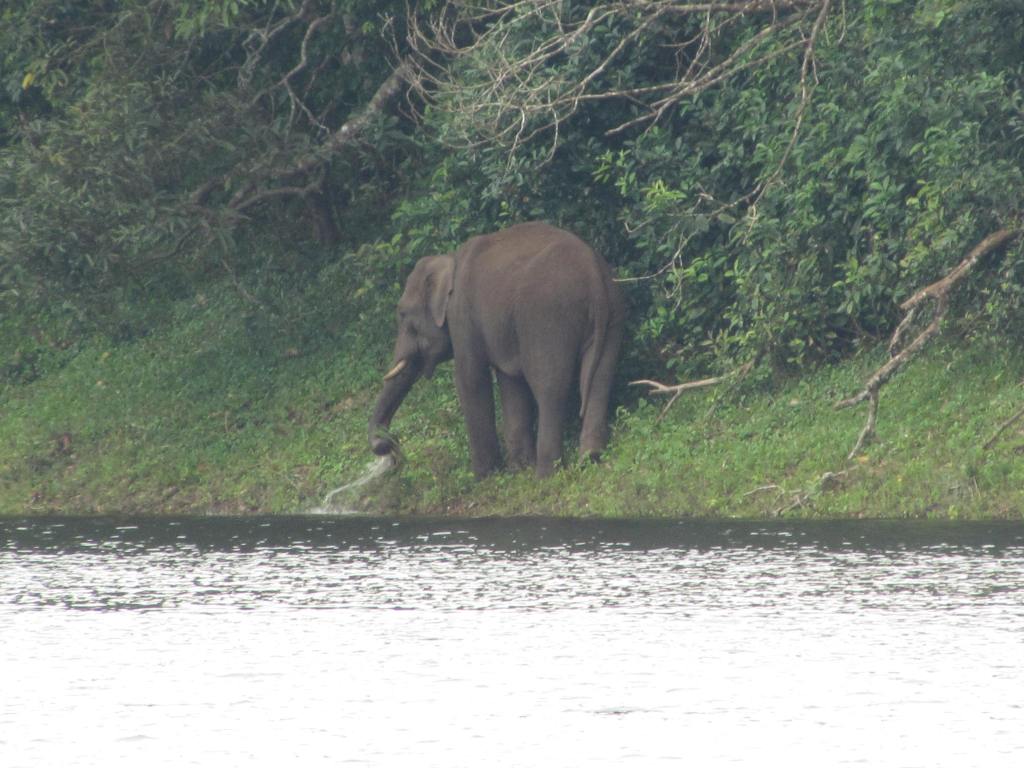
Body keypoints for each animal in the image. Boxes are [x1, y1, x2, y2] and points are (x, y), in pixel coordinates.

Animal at [368, 221, 625, 479]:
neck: (448, 260)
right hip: (612, 315)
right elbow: (509, 381)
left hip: (546, 319)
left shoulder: (462, 315)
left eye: (403, 314)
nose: (388, 446)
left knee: (549, 386)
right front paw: (519, 467)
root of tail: (592, 273)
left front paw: (483, 476)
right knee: (600, 376)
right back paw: (590, 457)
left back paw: (545, 475)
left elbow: (470, 378)